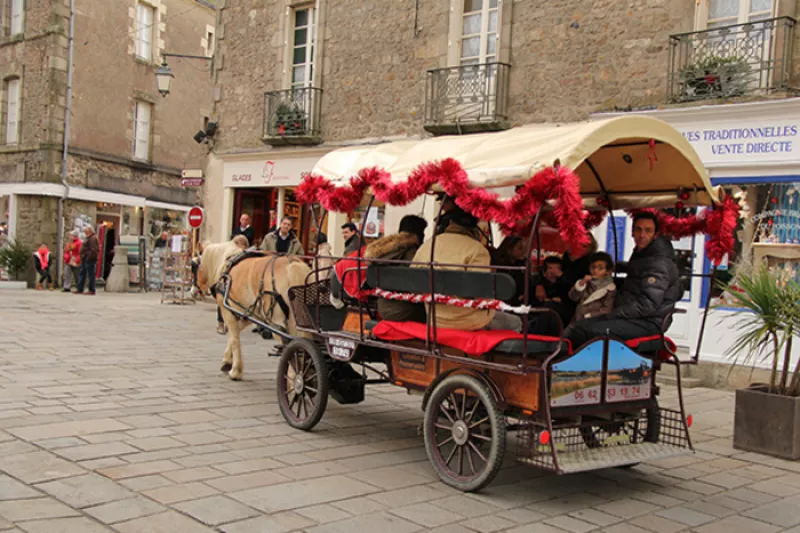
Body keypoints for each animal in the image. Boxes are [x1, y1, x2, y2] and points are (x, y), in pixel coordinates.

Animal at [197, 239, 312, 380]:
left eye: (197, 265)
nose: (199, 289)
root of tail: (293, 266)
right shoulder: (250, 314)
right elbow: (235, 332)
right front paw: (227, 361)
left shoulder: (227, 311)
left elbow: (234, 337)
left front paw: (235, 370)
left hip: (279, 324)